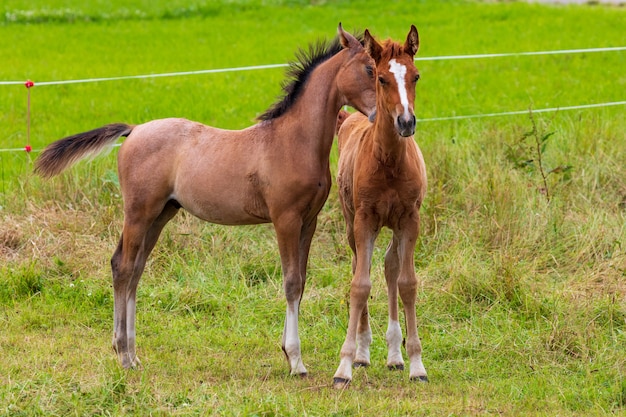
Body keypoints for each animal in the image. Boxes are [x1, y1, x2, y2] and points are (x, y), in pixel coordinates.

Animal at [35, 25, 376, 376]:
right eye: (370, 69)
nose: (387, 116)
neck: (292, 141)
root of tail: (134, 129)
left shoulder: (309, 220)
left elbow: (302, 281)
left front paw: (287, 350)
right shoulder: (286, 219)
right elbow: (292, 282)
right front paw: (295, 360)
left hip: (161, 214)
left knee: (136, 269)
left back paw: (132, 354)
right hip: (139, 212)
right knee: (123, 266)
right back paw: (123, 354)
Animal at [334, 24, 426, 386]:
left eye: (416, 76)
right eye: (382, 78)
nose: (406, 123)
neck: (387, 162)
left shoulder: (410, 219)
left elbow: (407, 283)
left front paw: (415, 363)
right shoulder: (364, 220)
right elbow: (359, 286)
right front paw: (345, 366)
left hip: (394, 225)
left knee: (389, 267)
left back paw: (394, 356)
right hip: (351, 224)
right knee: (360, 266)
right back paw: (363, 353)